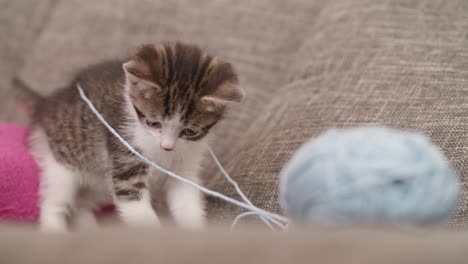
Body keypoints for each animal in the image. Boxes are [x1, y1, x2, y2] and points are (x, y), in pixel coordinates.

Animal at [25, 41, 245, 231]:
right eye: (154, 123)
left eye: (189, 131)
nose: (167, 147)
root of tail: (47, 103)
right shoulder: (125, 155)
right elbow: (137, 207)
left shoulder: (185, 167)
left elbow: (186, 200)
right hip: (63, 163)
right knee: (55, 200)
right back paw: (54, 229)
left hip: (99, 183)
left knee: (82, 203)